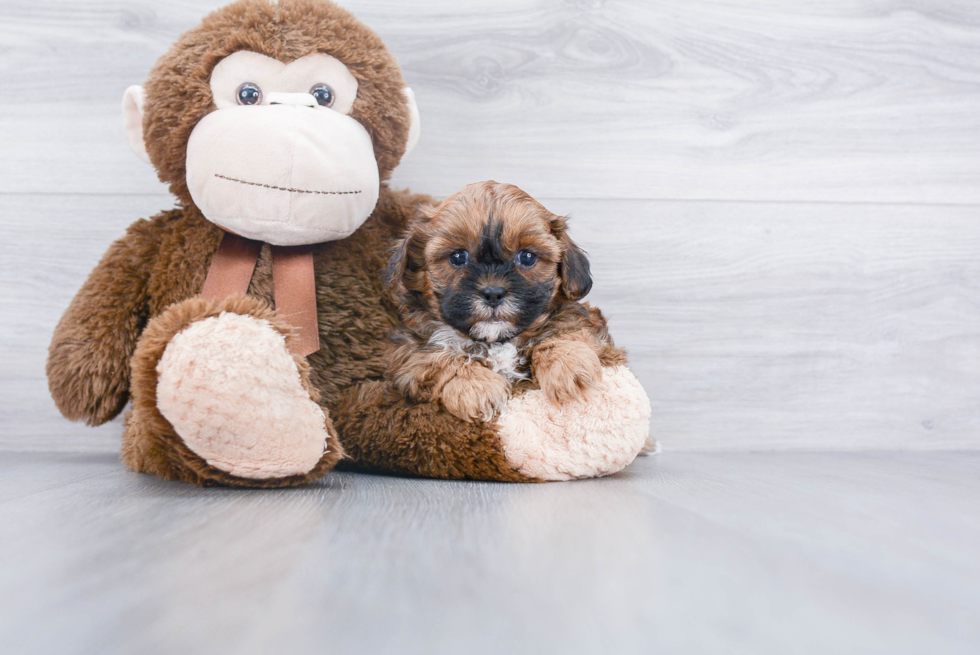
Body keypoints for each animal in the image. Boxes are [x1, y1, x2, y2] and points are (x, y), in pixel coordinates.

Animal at [384, 182, 624, 422]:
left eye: (527, 257)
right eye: (458, 257)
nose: (493, 293)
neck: (497, 341)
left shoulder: (584, 320)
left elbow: (565, 328)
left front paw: (567, 365)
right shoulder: (407, 353)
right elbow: (436, 357)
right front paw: (476, 387)